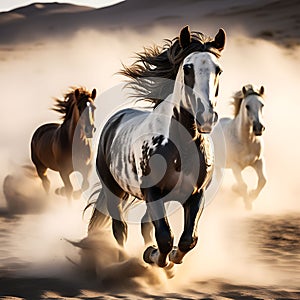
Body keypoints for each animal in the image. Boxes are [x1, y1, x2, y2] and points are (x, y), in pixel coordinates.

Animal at [86, 24, 225, 270]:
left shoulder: (195, 194)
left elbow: (188, 239)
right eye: (187, 68)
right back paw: (122, 260)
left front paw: (170, 259)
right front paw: (153, 256)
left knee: (144, 224)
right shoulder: (152, 192)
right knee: (120, 229)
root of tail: (115, 120)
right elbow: (164, 237)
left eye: (218, 70)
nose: (206, 117)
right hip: (114, 190)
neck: (182, 147)